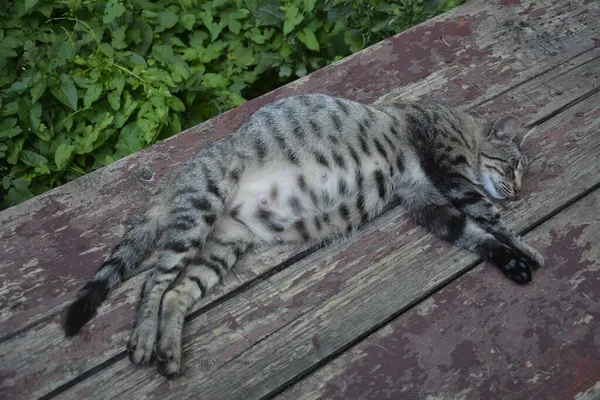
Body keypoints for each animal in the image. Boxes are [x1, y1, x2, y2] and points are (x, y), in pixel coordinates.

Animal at [62, 94, 544, 378]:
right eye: (513, 166)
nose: (521, 190)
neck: (462, 128)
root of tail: (173, 180)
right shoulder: (446, 171)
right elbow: (489, 216)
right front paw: (525, 245)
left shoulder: (425, 200)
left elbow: (473, 234)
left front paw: (512, 259)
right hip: (201, 211)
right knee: (152, 282)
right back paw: (146, 339)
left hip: (223, 245)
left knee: (177, 292)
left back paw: (168, 350)